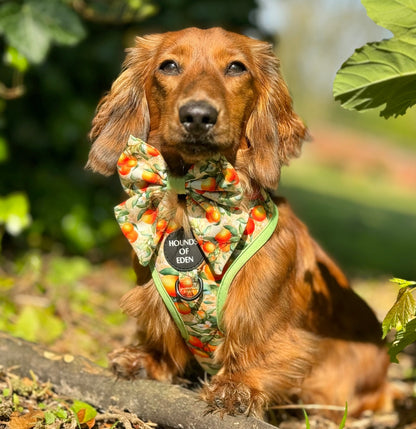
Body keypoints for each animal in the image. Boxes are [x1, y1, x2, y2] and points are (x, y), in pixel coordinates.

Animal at [86, 26, 392, 418]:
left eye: (236, 67)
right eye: (168, 65)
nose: (197, 116)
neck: (193, 202)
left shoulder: (261, 311)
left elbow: (258, 346)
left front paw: (238, 386)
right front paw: (146, 359)